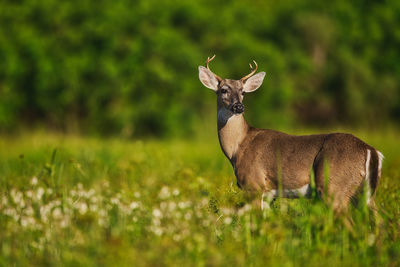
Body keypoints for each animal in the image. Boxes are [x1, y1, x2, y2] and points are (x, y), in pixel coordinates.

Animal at [198, 55, 382, 213]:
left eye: (243, 92)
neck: (238, 148)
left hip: (333, 187)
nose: (238, 106)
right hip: (364, 193)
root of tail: (370, 150)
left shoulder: (254, 184)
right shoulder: (268, 193)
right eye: (223, 90)